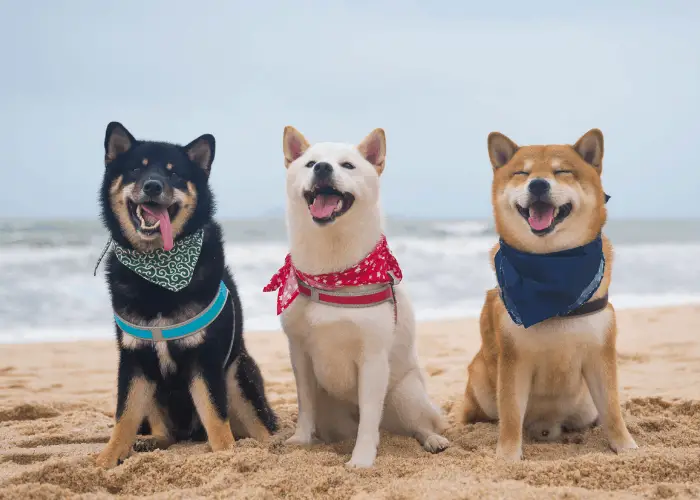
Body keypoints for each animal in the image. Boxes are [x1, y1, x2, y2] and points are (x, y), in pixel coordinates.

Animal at [95, 122, 276, 468]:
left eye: (175, 173)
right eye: (136, 168)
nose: (152, 186)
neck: (159, 276)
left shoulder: (206, 360)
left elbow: (215, 416)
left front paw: (226, 456)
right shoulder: (134, 360)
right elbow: (124, 415)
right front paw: (106, 460)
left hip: (237, 374)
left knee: (260, 426)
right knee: (166, 433)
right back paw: (150, 442)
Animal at [262, 126, 448, 468]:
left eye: (347, 165)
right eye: (310, 164)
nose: (323, 168)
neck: (332, 273)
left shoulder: (372, 358)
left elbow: (369, 419)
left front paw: (361, 460)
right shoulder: (299, 353)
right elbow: (305, 405)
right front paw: (300, 440)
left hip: (406, 394)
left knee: (418, 424)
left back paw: (433, 439)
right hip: (333, 413)